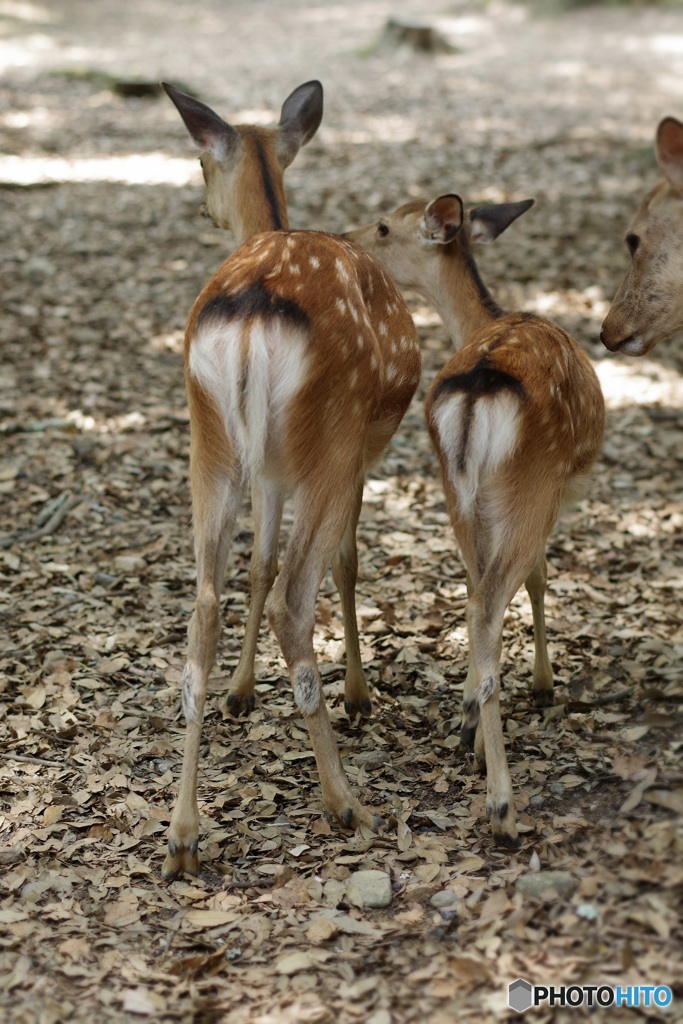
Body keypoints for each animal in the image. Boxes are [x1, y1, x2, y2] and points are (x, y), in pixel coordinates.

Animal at [162, 81, 421, 880]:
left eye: (200, 164)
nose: (202, 207)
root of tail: (252, 304)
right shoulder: (355, 454)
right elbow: (345, 562)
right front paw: (361, 696)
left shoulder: (271, 468)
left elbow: (258, 563)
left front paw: (243, 694)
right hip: (332, 434)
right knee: (294, 597)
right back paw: (345, 801)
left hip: (209, 439)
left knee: (205, 603)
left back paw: (181, 834)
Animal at [350, 193, 606, 847]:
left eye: (384, 226)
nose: (350, 239)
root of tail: (476, 389)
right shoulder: (550, 497)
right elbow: (539, 579)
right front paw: (542, 683)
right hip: (532, 486)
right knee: (493, 602)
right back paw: (502, 806)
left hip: (455, 490)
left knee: (473, 596)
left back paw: (471, 730)